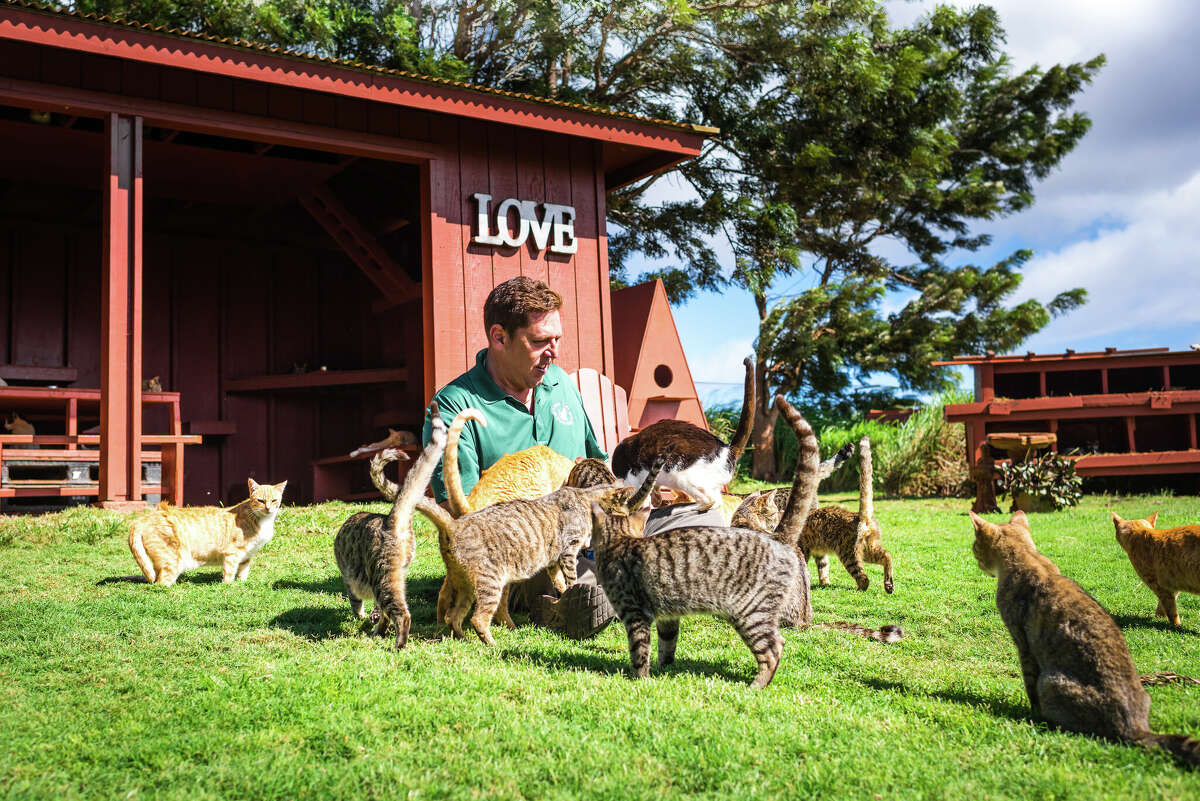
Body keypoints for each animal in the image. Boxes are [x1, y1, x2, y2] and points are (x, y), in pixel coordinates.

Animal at [127, 479, 286, 585]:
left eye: (274, 500)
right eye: (260, 500)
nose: (268, 508)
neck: (262, 521)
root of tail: (143, 518)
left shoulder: (247, 555)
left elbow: (243, 571)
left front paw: (241, 583)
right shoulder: (232, 553)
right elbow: (229, 573)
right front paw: (228, 586)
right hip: (173, 561)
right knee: (160, 583)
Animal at [331, 407, 448, 652]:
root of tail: (391, 519)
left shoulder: (349, 581)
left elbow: (355, 601)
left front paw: (361, 616)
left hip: (382, 577)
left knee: (402, 614)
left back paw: (398, 644)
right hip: (396, 573)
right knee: (391, 610)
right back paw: (381, 632)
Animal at [614, 354, 753, 510]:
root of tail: (728, 449)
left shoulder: (633, 479)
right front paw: (657, 499)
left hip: (683, 476)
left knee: (712, 501)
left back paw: (694, 507)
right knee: (717, 501)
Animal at [964, 510, 1200, 767]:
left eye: (975, 547)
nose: (975, 559)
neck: (1028, 558)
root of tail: (1134, 728)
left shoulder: (1023, 644)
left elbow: (1029, 685)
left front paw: (1031, 712)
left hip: (1049, 680)